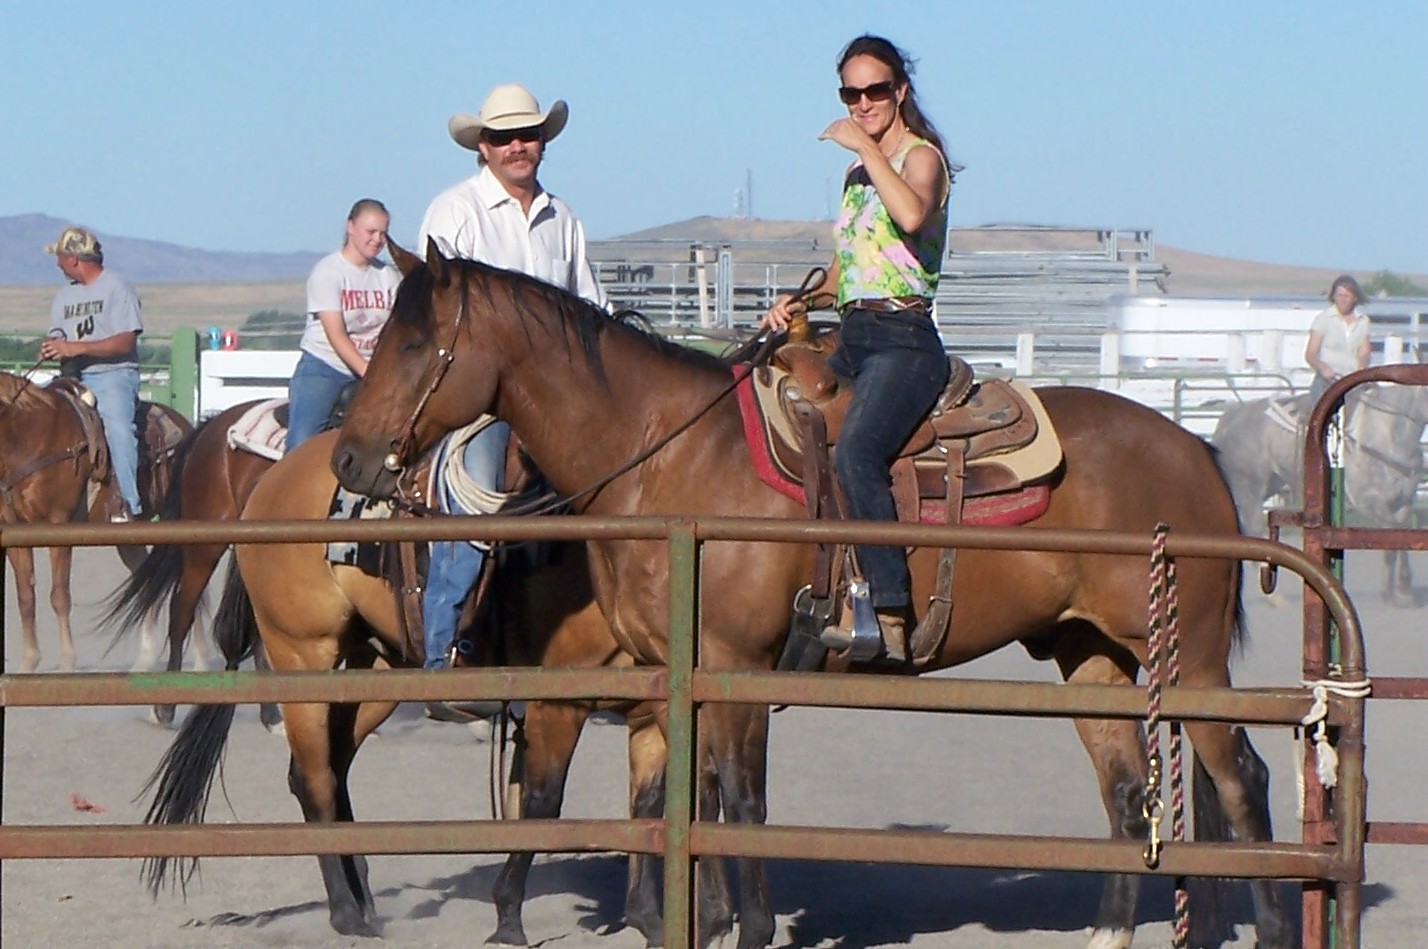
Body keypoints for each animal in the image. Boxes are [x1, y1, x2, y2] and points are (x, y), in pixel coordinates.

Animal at [0, 371, 189, 673]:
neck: (30, 436)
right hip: (130, 539)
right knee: (149, 582)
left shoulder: (58, 525)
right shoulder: (16, 530)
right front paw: (29, 663)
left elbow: (59, 596)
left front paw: (67, 662)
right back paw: (146, 659)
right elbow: (25, 598)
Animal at [142, 430, 736, 947]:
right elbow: (542, 802)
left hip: (378, 667)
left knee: (331, 767)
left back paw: (363, 897)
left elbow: (652, 804)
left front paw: (649, 917)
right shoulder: (558, 702)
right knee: (313, 777)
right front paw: (508, 920)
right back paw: (345, 913)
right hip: (302, 653)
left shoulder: (654, 707)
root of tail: (272, 480)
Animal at [328, 241, 1302, 947]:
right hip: (1091, 655)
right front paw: (703, 920)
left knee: (1240, 777)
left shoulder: (737, 666)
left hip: (1189, 658)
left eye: (411, 343)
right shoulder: (685, 677)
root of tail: (1194, 448)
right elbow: (699, 800)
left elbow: (742, 803)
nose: (346, 457)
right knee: (1129, 789)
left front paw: (750, 928)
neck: (672, 456)